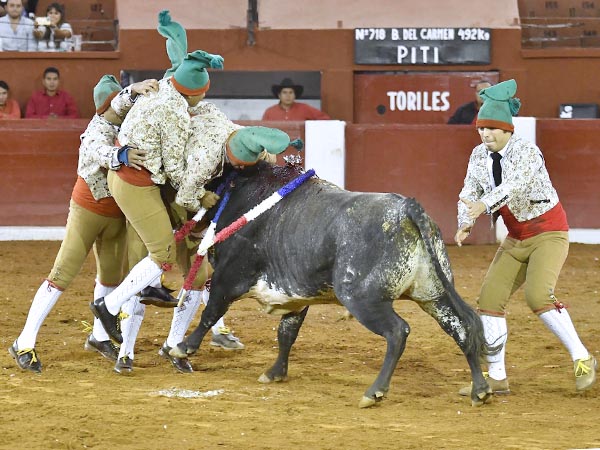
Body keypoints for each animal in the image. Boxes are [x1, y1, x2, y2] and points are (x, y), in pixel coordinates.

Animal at [171, 162, 494, 408]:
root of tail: (406, 208)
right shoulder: (294, 296)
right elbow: (286, 333)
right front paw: (275, 372)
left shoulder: (228, 277)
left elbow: (210, 312)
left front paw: (183, 348)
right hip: (433, 294)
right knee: (461, 328)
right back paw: (479, 390)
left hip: (362, 298)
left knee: (397, 331)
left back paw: (374, 392)